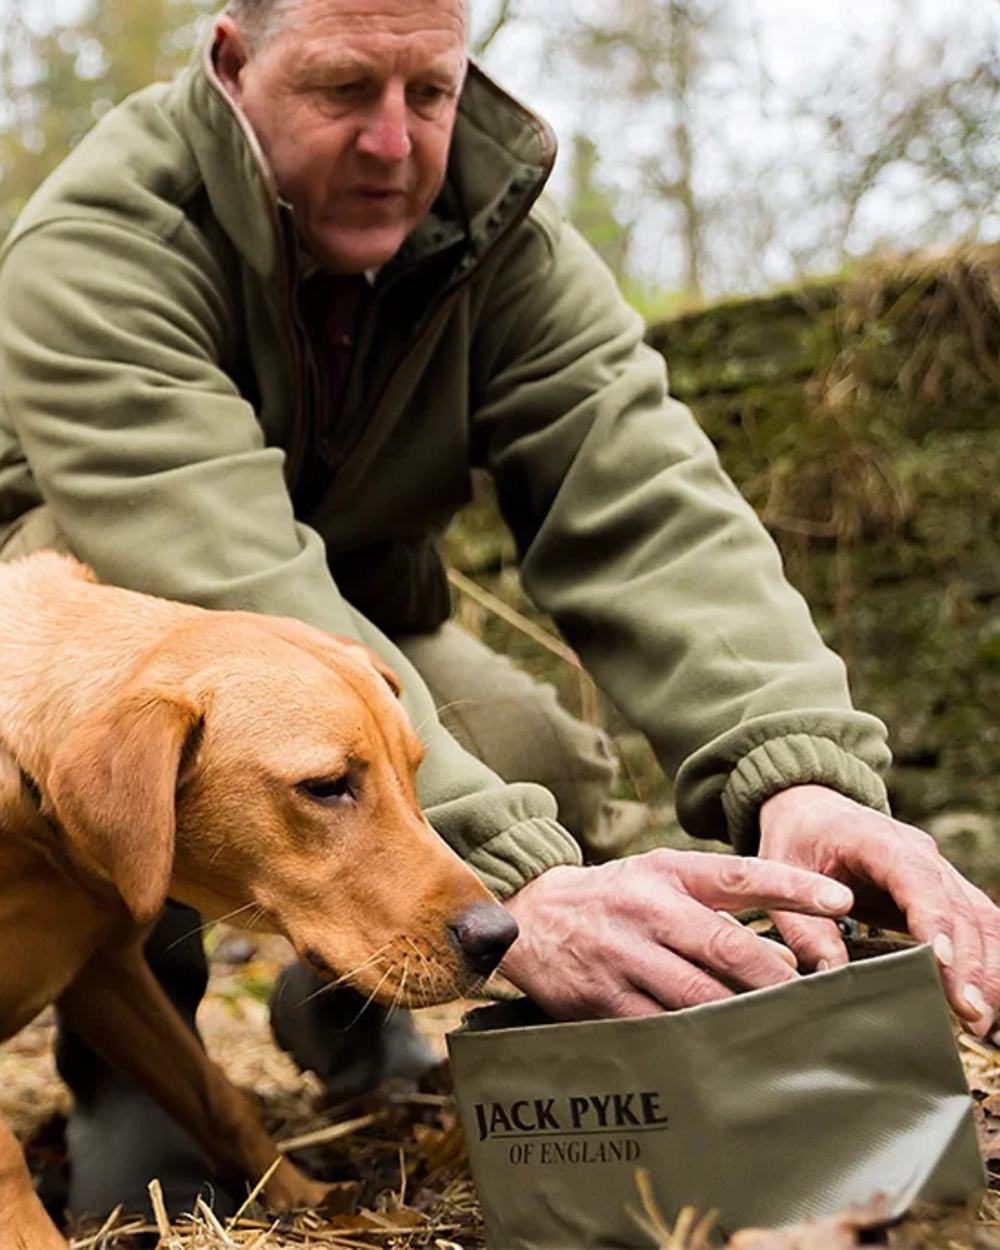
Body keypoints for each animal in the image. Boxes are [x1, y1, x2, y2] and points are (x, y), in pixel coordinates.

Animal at [0, 557, 515, 1250]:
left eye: (412, 772)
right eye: (325, 787)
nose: (500, 937)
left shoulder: (106, 974)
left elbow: (218, 1098)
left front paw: (301, 1195)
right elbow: (4, 1156)